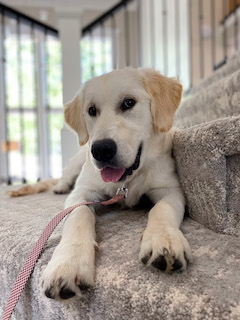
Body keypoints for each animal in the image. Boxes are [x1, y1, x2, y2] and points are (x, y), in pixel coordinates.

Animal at [7, 67, 193, 300]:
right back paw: (60, 187)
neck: (127, 181)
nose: (101, 150)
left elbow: (161, 209)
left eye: (129, 103)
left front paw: (164, 239)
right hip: (77, 162)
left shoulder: (170, 189)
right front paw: (69, 261)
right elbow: (79, 216)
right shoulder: (82, 193)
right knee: (64, 178)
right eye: (92, 110)